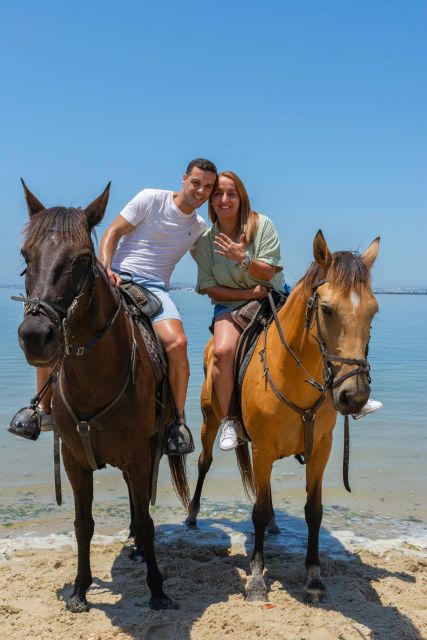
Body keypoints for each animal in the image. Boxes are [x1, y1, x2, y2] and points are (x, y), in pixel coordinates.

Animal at [15, 182, 189, 612]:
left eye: (81, 258)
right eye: (26, 255)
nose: (35, 336)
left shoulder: (139, 455)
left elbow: (146, 520)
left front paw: (157, 589)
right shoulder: (75, 460)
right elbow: (83, 524)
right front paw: (80, 589)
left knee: (141, 505)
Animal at [187, 232, 382, 604]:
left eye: (373, 311)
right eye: (326, 309)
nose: (355, 396)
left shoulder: (321, 449)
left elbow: (313, 510)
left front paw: (314, 577)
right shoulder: (262, 449)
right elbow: (258, 511)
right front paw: (256, 579)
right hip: (209, 419)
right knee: (204, 462)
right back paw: (191, 515)